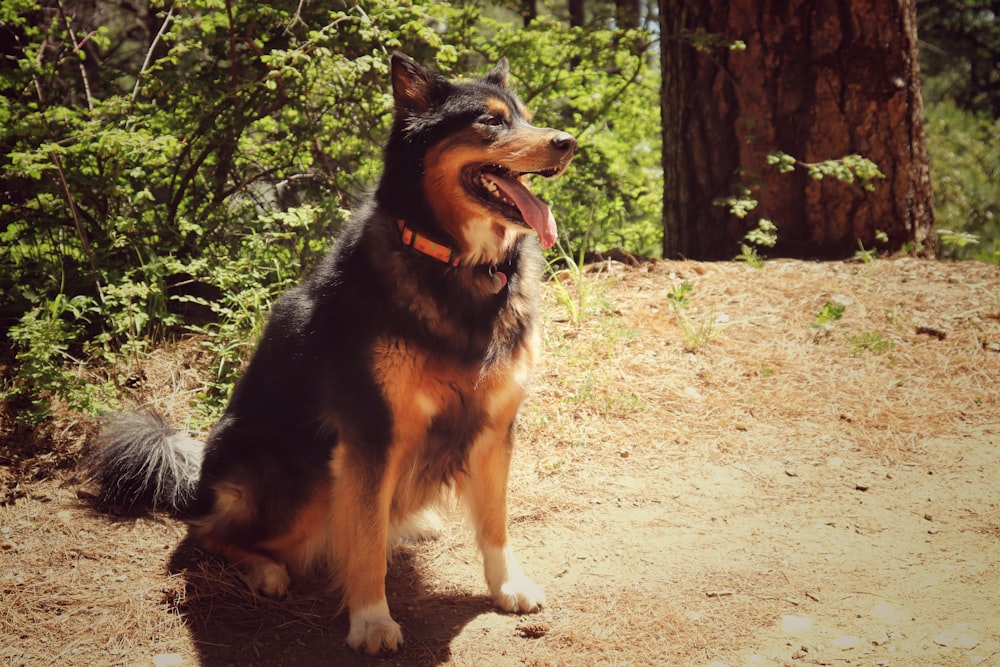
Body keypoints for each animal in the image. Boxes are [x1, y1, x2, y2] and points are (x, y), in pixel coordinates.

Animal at [89, 53, 580, 656]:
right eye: (490, 121)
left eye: (525, 116)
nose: (568, 143)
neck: (456, 265)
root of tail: (197, 483)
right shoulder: (369, 432)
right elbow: (364, 541)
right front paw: (371, 620)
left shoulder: (495, 424)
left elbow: (495, 523)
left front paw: (507, 586)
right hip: (302, 474)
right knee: (207, 534)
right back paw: (265, 569)